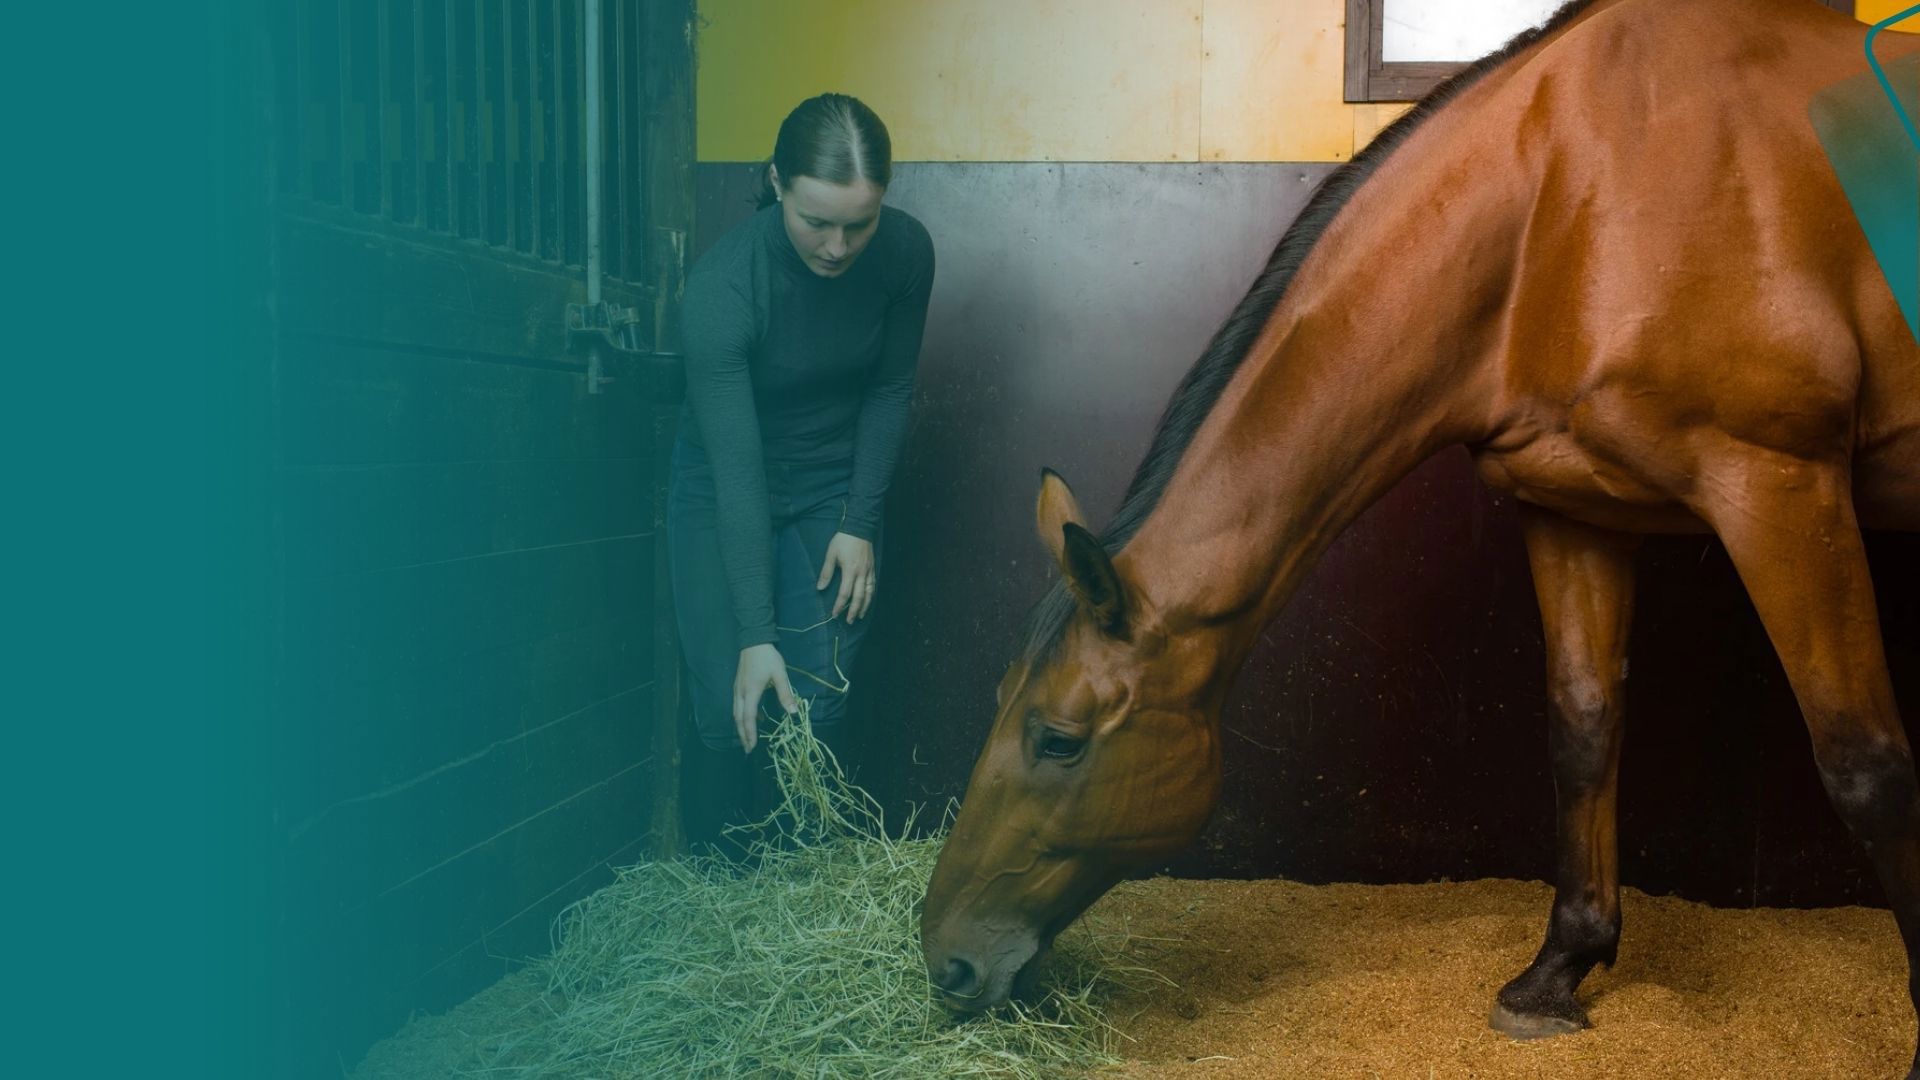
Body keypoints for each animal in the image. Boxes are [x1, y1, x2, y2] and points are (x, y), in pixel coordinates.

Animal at [919, 0, 1920, 1071]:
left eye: (1057, 740)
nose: (947, 961)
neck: (1575, 194)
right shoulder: (1574, 509)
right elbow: (1583, 727)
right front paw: (1558, 970)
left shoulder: (1780, 486)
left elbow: (1868, 768)